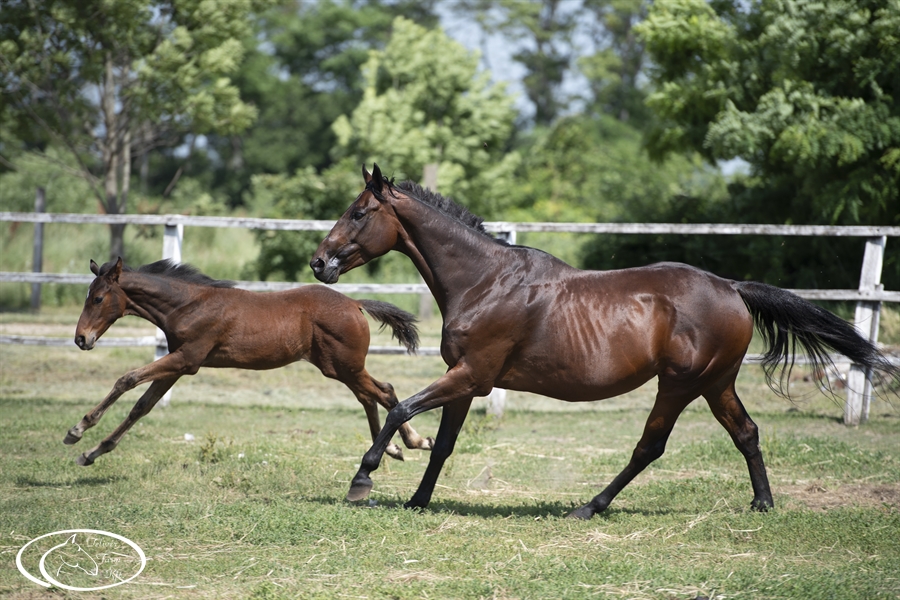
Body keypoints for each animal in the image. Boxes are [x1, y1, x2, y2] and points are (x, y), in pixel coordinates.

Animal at [67, 255, 432, 466]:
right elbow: (142, 406)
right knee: (372, 394)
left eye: (98, 298)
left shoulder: (186, 359)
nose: (81, 338)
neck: (188, 305)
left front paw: (77, 430)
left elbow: (126, 379)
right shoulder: (177, 364)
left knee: (382, 391)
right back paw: (396, 447)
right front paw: (92, 453)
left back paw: (413, 442)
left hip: (343, 366)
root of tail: (355, 303)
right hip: (342, 367)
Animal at [312, 165, 900, 520]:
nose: (319, 263)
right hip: (716, 383)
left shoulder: (472, 375)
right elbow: (444, 444)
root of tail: (731, 287)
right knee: (747, 433)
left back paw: (589, 506)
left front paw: (364, 478)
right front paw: (418, 500)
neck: (485, 281)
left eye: (359, 212)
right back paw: (762, 504)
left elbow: (401, 409)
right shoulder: (467, 382)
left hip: (680, 384)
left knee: (651, 445)